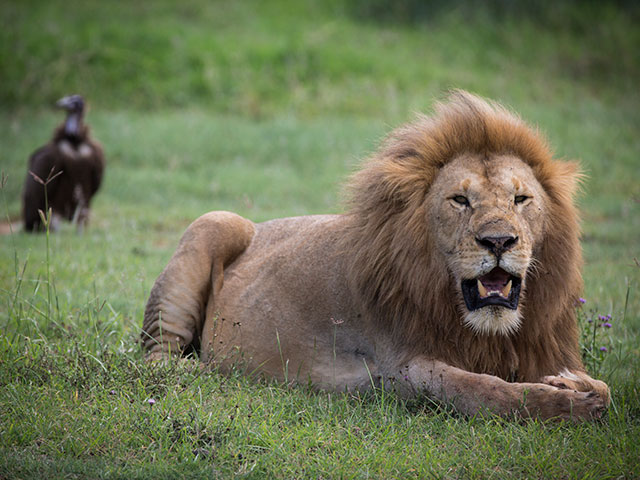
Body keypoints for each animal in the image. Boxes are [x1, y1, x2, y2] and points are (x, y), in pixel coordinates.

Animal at [142, 90, 612, 420]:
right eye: (460, 200)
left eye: (520, 199)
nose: (498, 241)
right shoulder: (400, 367)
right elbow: (483, 390)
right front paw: (571, 406)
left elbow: (604, 387)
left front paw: (576, 385)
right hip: (213, 222)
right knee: (158, 354)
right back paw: (200, 371)